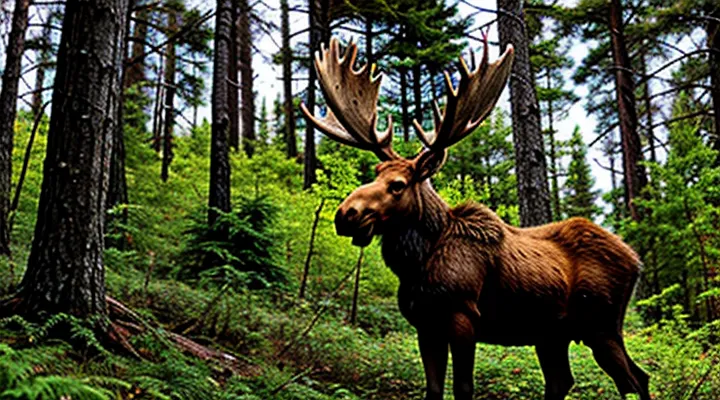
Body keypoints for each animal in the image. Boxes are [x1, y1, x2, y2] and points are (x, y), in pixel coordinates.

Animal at [300, 37, 650, 400]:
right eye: (376, 171)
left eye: (397, 185)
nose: (346, 214)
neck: (416, 265)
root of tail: (636, 261)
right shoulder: (425, 324)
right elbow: (433, 389)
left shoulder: (463, 314)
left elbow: (463, 387)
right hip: (552, 334)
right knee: (570, 380)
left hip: (600, 324)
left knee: (633, 380)